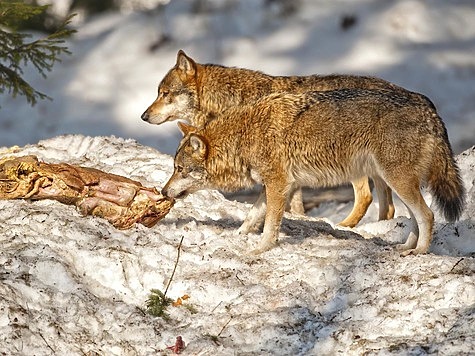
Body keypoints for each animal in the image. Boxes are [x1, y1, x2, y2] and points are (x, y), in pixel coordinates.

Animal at [142, 49, 438, 228]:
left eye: (165, 94)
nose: (144, 116)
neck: (233, 103)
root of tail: (413, 94)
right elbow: (293, 205)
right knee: (387, 206)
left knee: (366, 197)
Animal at [161, 89, 464, 256]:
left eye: (179, 169)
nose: (163, 191)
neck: (243, 136)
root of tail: (430, 110)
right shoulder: (271, 187)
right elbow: (251, 217)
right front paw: (238, 236)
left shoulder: (278, 185)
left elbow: (269, 225)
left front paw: (260, 249)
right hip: (398, 184)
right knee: (416, 218)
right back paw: (407, 247)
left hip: (397, 181)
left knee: (428, 215)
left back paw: (421, 251)